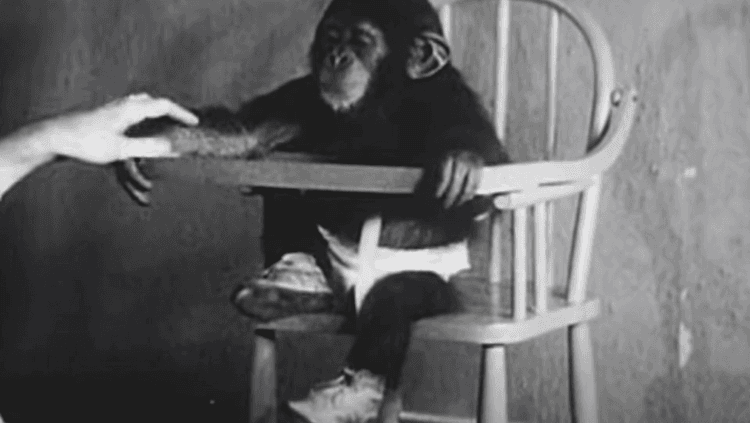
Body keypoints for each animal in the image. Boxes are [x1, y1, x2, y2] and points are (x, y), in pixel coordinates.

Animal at [119, 0, 510, 421]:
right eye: (332, 37)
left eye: (362, 41)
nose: (337, 56)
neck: (380, 101)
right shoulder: (303, 94)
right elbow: (241, 132)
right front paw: (137, 140)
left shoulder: (448, 97)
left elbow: (489, 172)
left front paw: (463, 159)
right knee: (289, 200)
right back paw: (290, 286)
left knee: (395, 299)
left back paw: (349, 392)